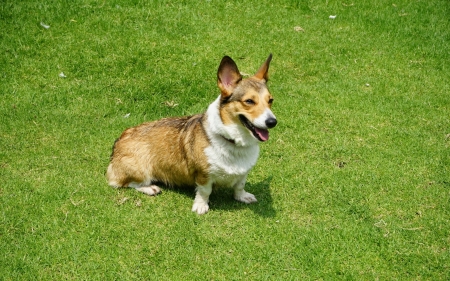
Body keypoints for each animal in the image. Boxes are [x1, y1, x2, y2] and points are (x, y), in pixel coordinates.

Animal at [107, 53, 276, 213]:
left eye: (270, 100)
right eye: (249, 101)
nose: (272, 122)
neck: (233, 141)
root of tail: (119, 140)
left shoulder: (243, 173)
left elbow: (239, 186)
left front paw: (242, 196)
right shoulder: (204, 175)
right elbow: (205, 191)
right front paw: (200, 206)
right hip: (140, 170)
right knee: (122, 183)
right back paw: (149, 188)